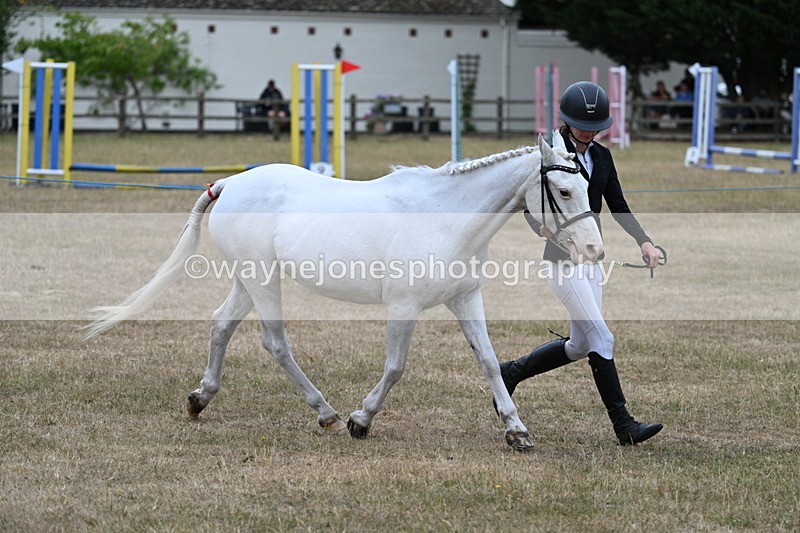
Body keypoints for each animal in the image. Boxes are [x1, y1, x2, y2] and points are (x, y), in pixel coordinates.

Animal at [84, 134, 602, 451]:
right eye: (562, 189)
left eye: (585, 182)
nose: (594, 249)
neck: (444, 216)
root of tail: (230, 182)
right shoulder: (403, 307)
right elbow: (395, 368)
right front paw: (361, 420)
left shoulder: (465, 298)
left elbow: (491, 362)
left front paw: (517, 431)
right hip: (263, 280)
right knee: (275, 342)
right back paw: (327, 414)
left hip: (250, 280)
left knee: (221, 324)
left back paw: (200, 398)